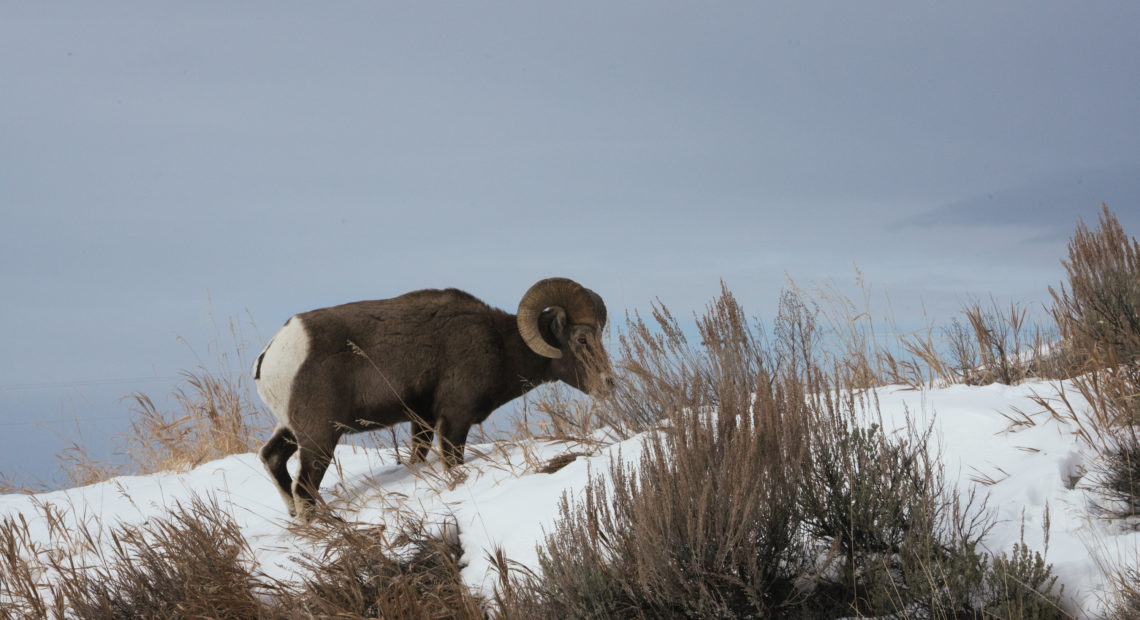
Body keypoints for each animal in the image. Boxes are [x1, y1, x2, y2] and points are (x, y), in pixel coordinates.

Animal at [253, 275, 611, 517]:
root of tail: (272, 354)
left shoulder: (422, 422)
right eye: (581, 339)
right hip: (320, 438)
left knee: (272, 459)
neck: (498, 344)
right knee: (304, 487)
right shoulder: (454, 421)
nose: (609, 382)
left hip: (293, 430)